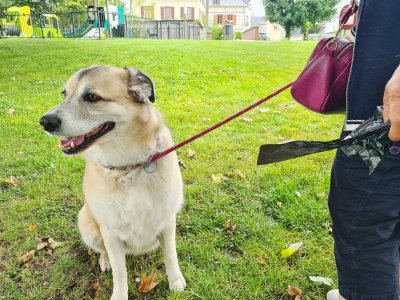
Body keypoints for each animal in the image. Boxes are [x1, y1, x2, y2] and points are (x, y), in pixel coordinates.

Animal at [39, 65, 186, 298]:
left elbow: (170, 255)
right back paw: (105, 259)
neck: (129, 168)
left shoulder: (167, 221)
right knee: (103, 251)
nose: (45, 122)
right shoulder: (111, 233)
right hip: (87, 222)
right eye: (65, 94)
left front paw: (175, 282)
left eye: (92, 97)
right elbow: (120, 272)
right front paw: (119, 294)